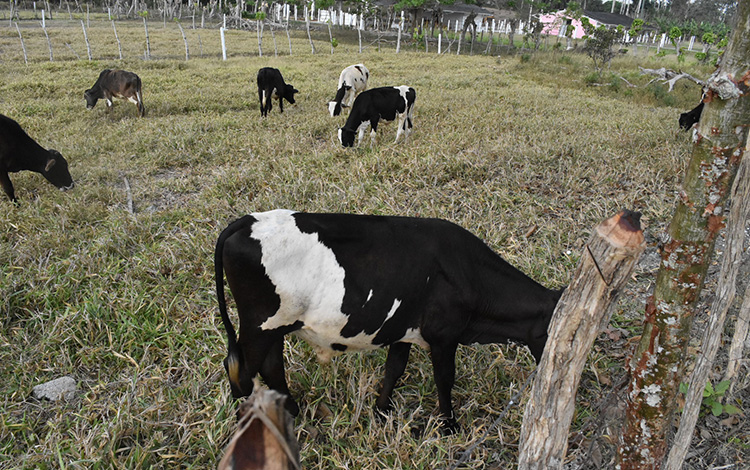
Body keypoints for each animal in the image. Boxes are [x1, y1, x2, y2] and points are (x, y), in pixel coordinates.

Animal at [216, 211, 564, 432]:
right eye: (555, 332)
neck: (469, 272)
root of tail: (247, 220)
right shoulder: (443, 336)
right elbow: (445, 379)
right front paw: (449, 426)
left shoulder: (401, 330)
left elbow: (393, 370)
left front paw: (382, 412)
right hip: (260, 326)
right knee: (243, 374)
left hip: (274, 327)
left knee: (271, 366)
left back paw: (292, 413)